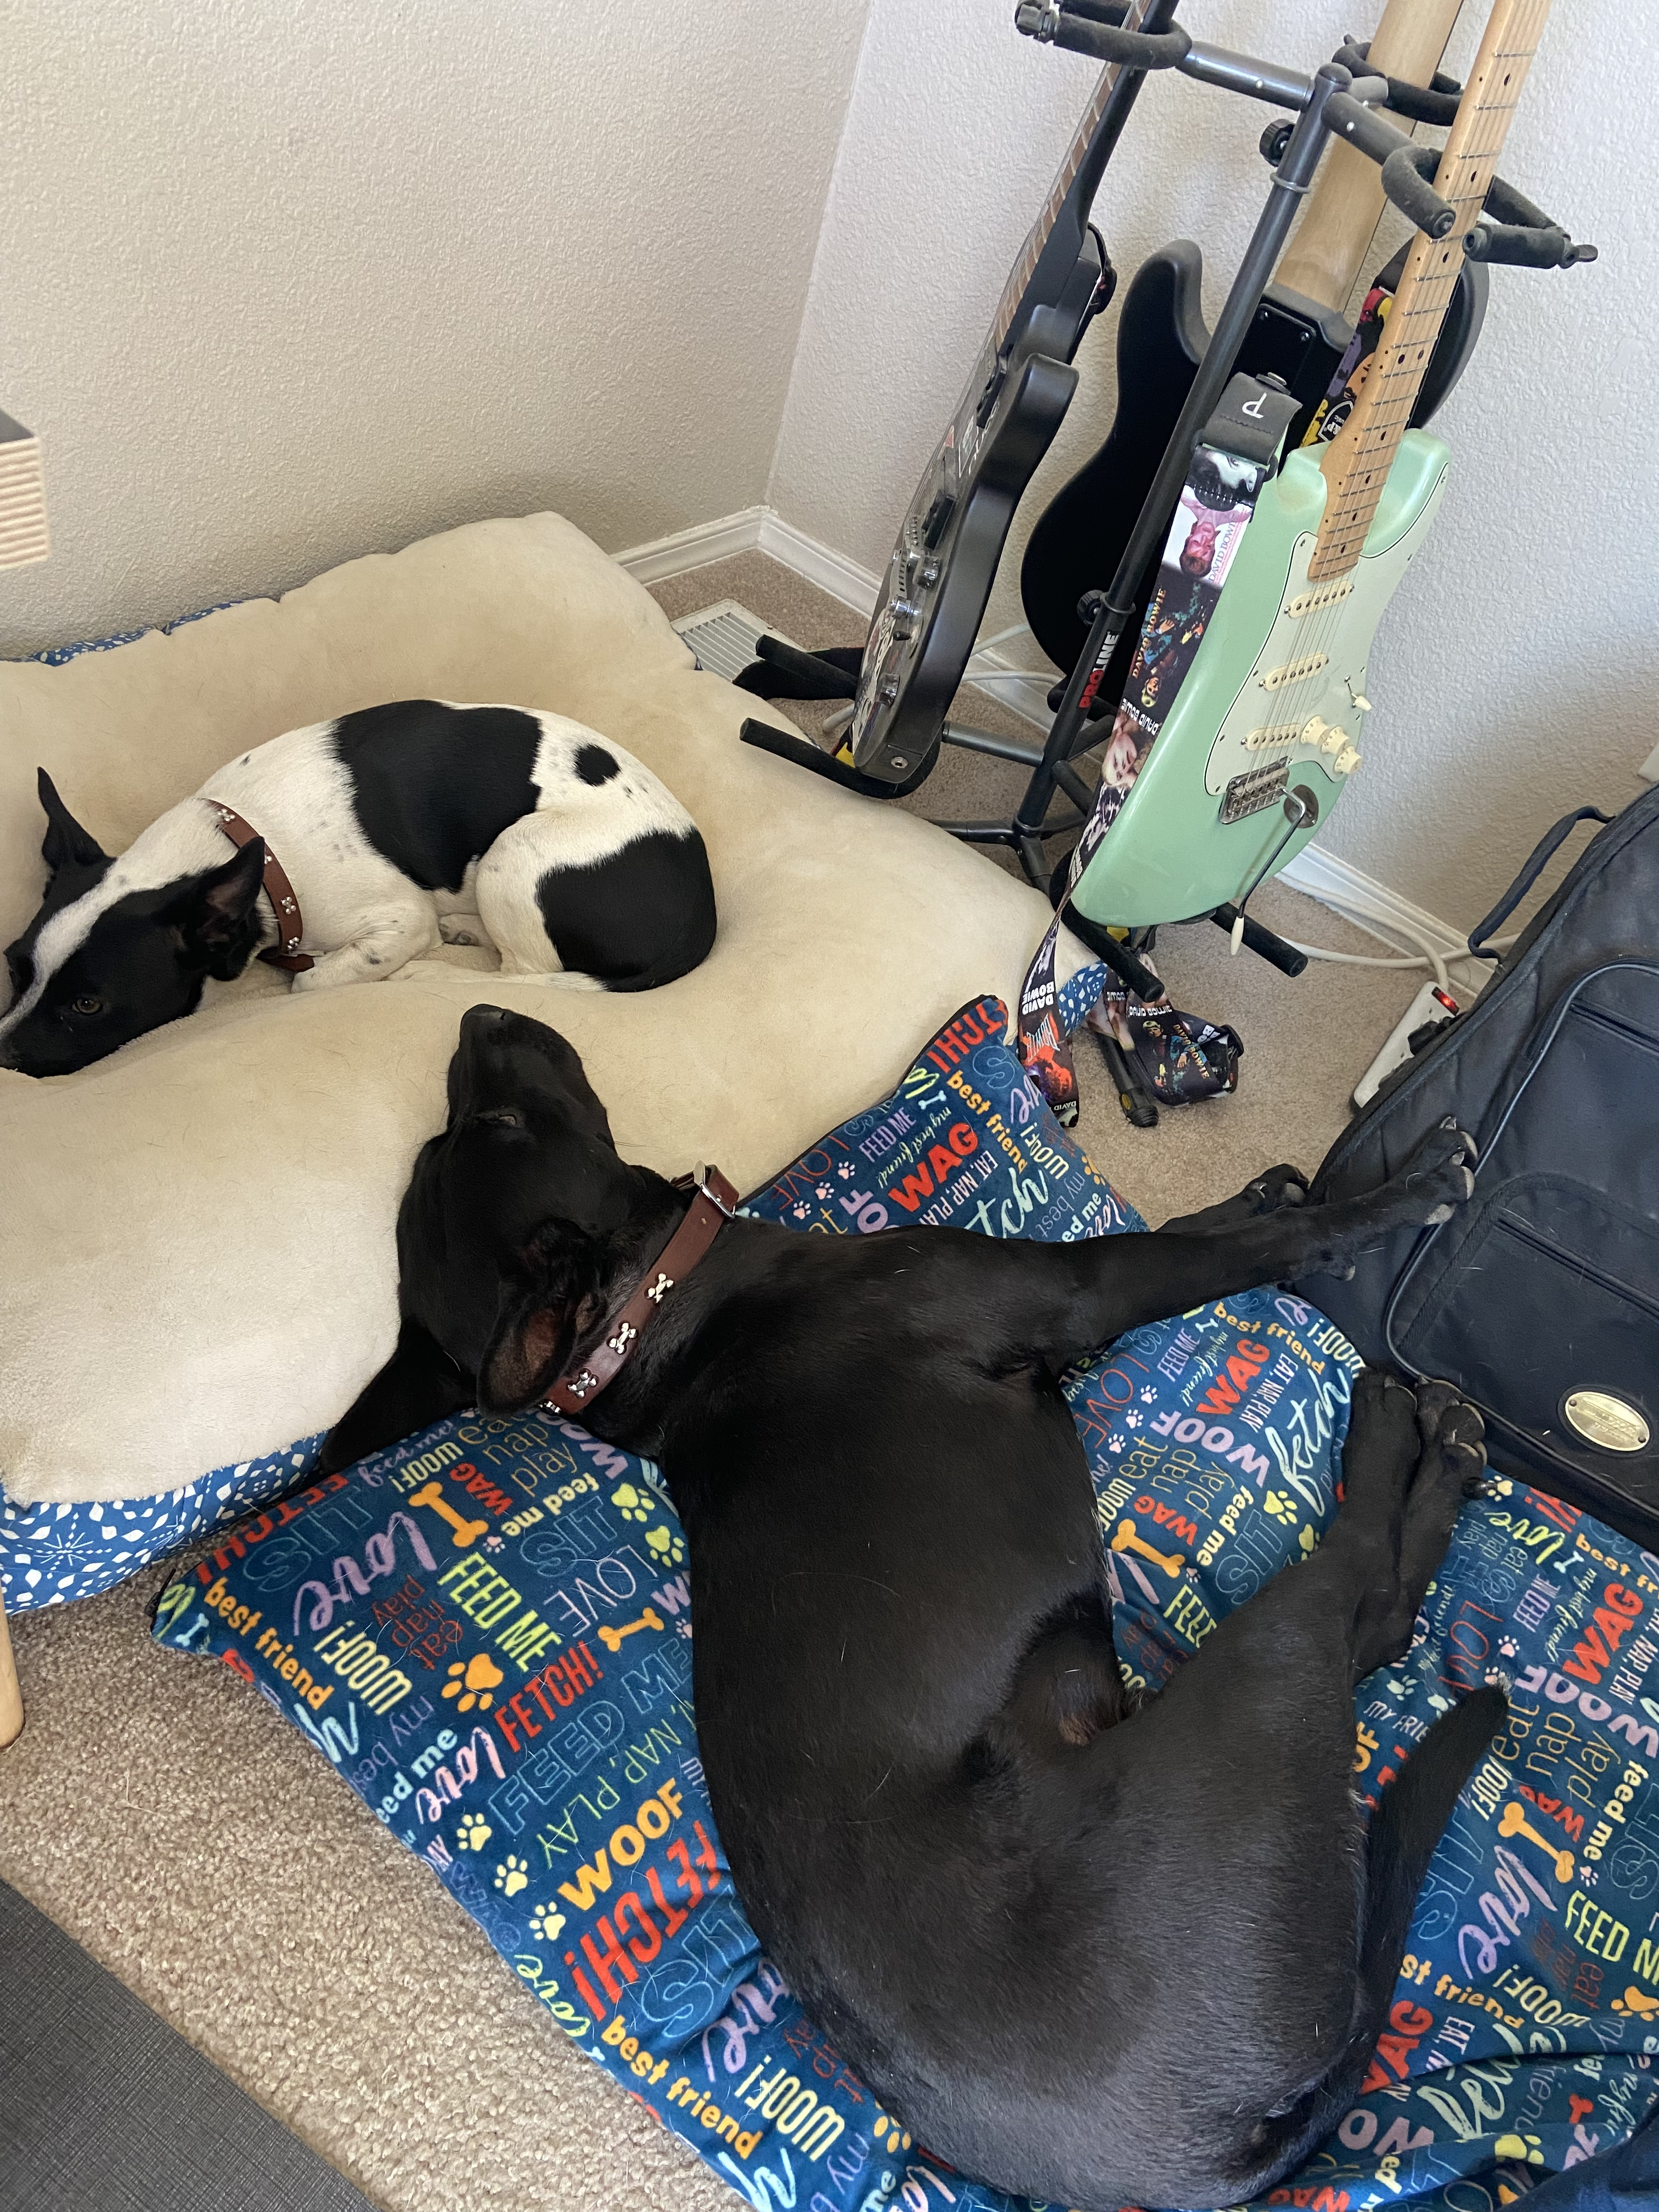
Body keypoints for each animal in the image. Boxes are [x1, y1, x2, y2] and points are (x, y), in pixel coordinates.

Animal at [0, 690, 716, 1070]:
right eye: (14, 963)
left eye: (88, 1005)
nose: (2, 1057)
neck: (242, 840)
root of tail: (703, 913)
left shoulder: (393, 922)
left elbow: (311, 978)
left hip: (517, 852)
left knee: (522, 970)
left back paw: (432, 966)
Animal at [325, 1008, 1504, 2212]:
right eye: (500, 1123)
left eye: (470, 1129)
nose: (476, 1015)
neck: (656, 1321)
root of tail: (1206, 2155)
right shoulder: (1081, 1285)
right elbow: (1232, 1251)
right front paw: (1402, 1189)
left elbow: (1195, 1222)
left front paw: (1261, 1189)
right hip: (1256, 1677)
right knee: (1365, 1599)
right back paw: (1414, 1443)